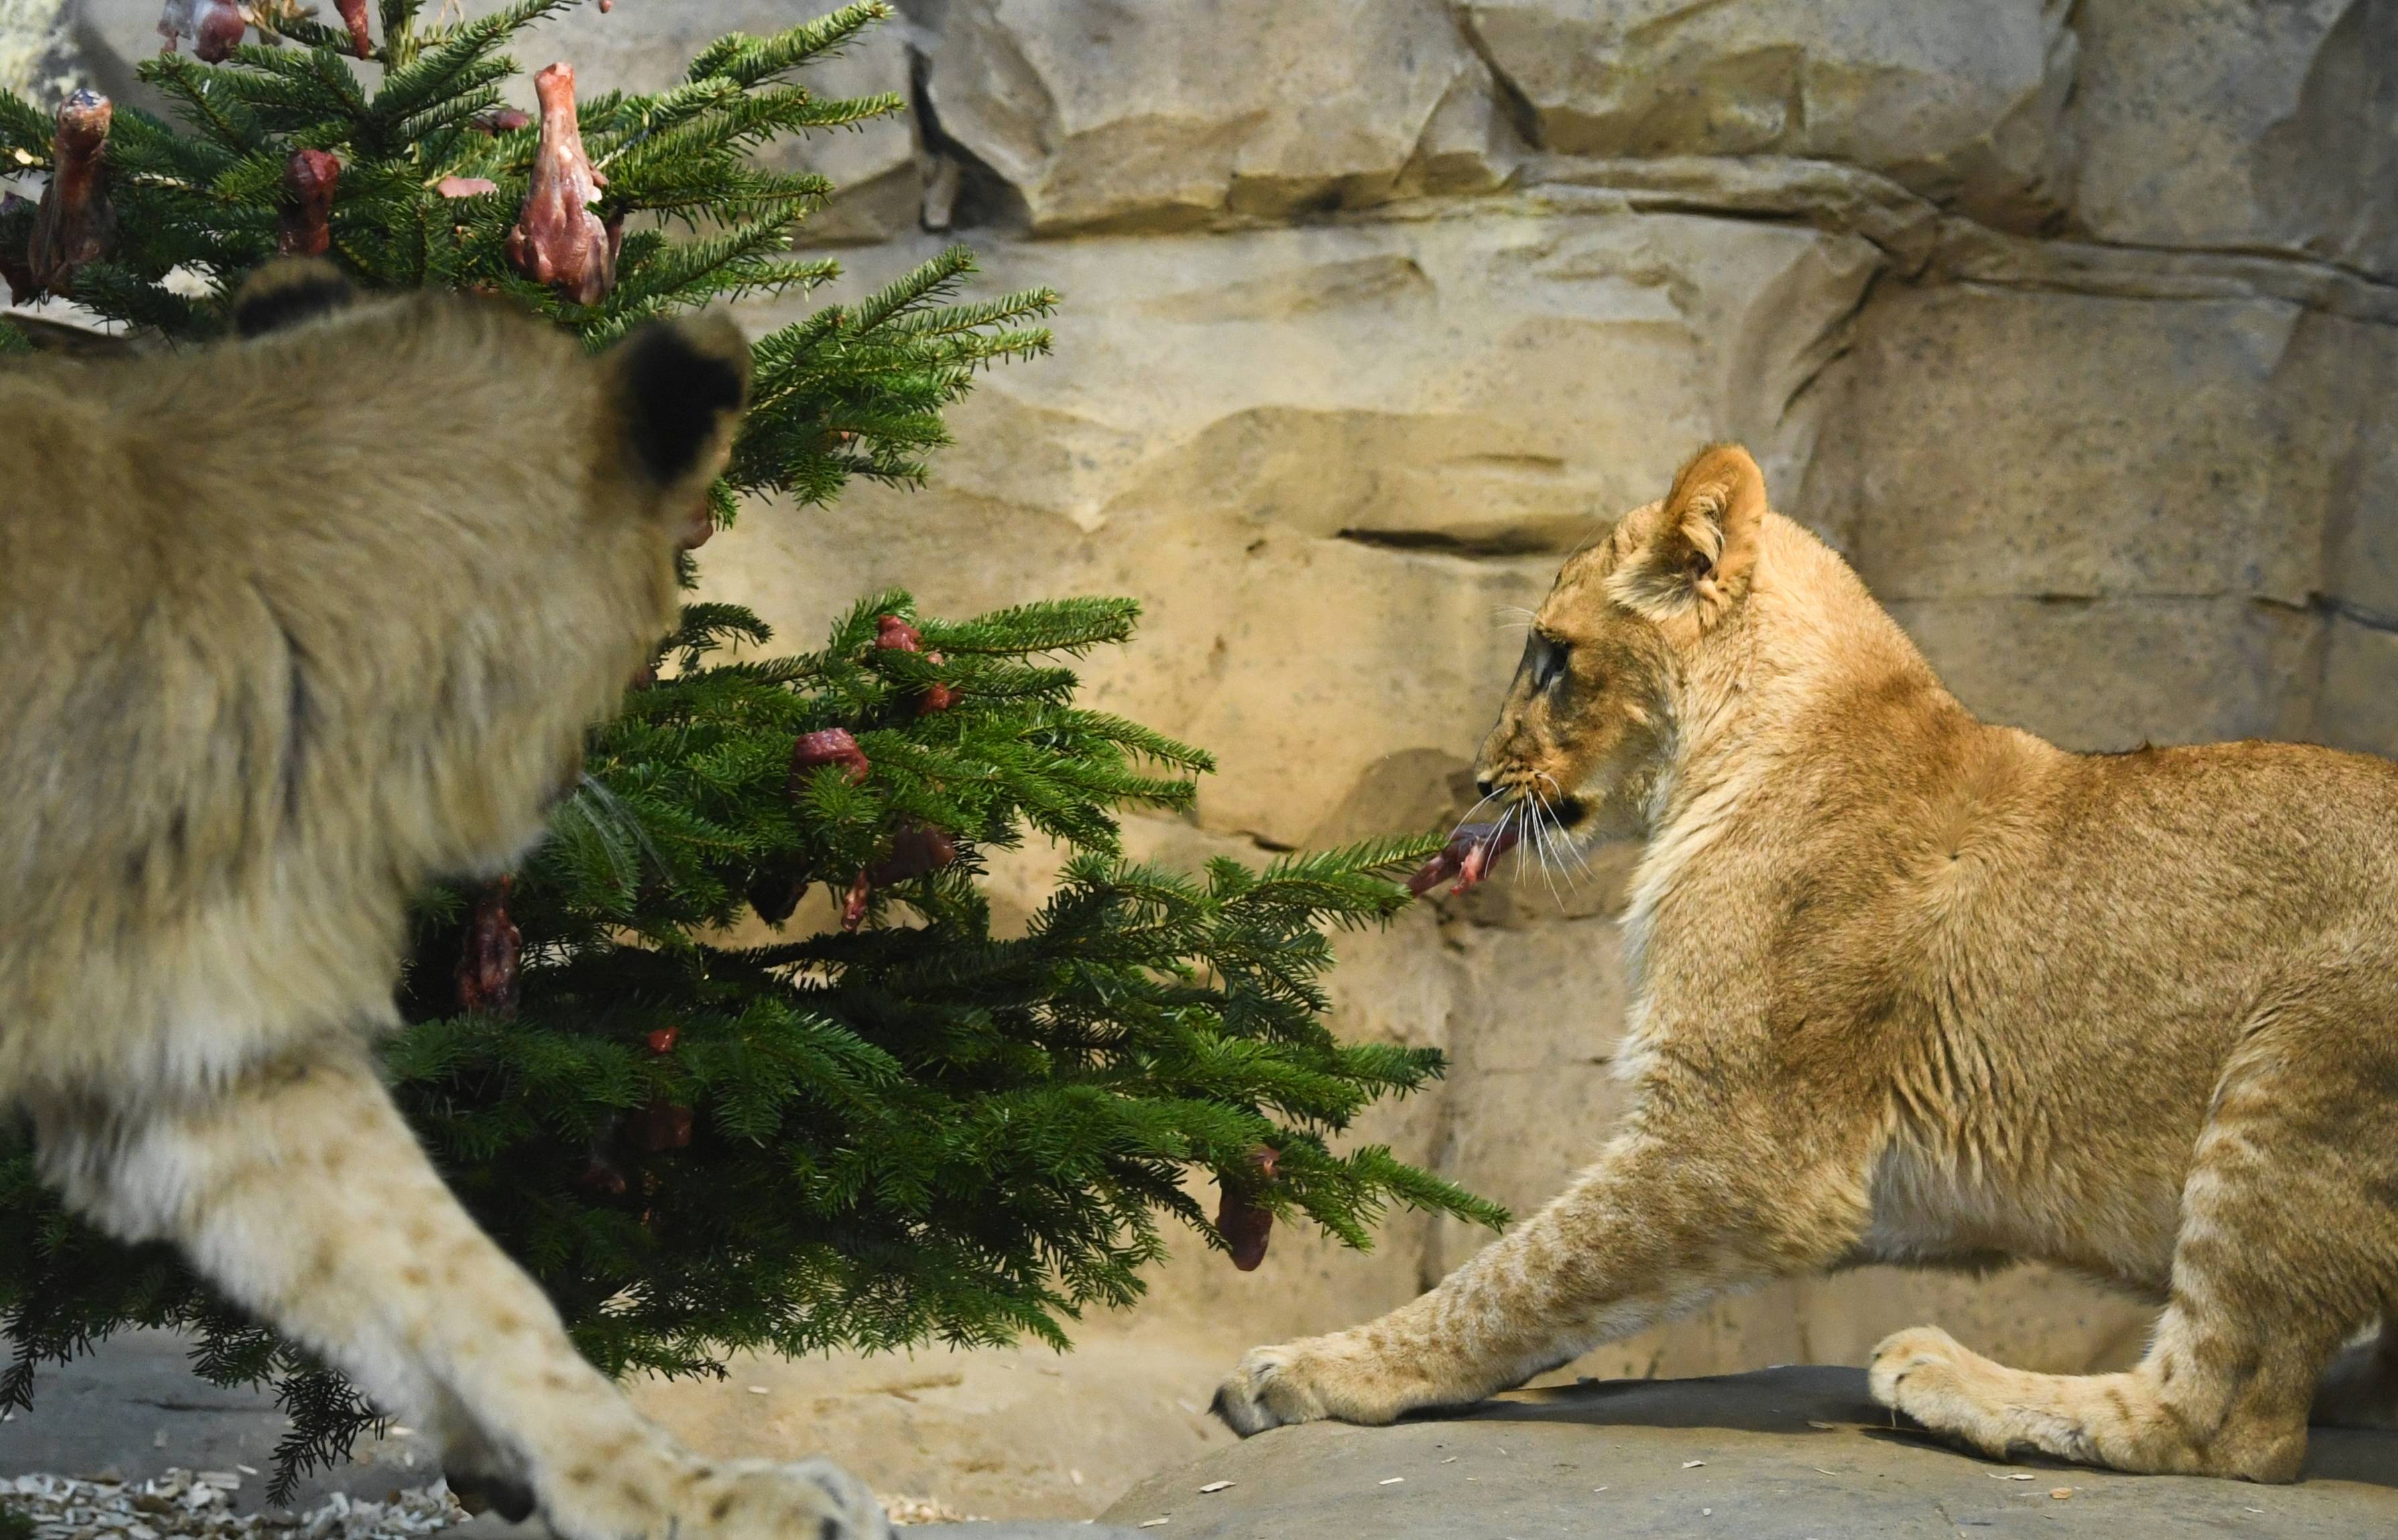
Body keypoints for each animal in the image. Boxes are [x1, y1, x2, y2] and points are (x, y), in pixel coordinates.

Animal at [1218, 441, 2398, 1477]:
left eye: (1552, 657)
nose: (1476, 776)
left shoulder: (1745, 1146)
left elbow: (1514, 1275)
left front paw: (1304, 1369)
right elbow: (1549, 1280)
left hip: (2293, 1068)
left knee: (2226, 1421)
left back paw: (1951, 1379)